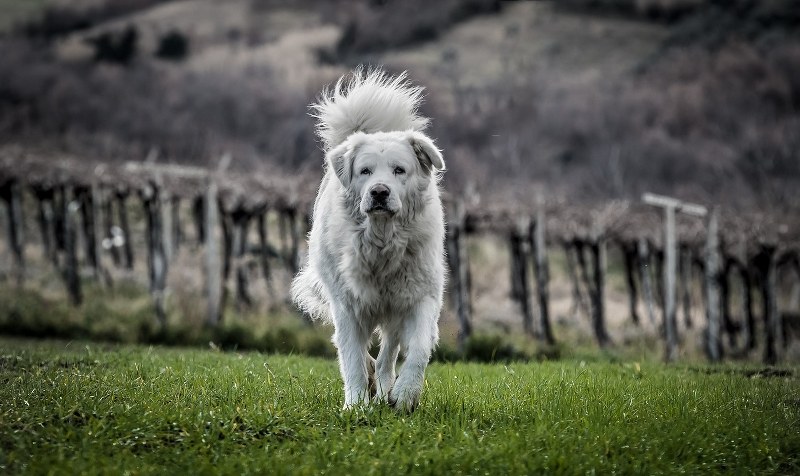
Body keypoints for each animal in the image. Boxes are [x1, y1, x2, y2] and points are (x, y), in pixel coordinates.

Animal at [292, 68, 446, 412]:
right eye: (365, 171)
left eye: (399, 170)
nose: (379, 192)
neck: (381, 241)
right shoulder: (347, 304)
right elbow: (350, 356)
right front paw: (356, 405)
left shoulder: (420, 296)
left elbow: (418, 348)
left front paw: (405, 394)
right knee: (358, 350)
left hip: (395, 308)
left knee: (389, 350)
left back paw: (387, 385)